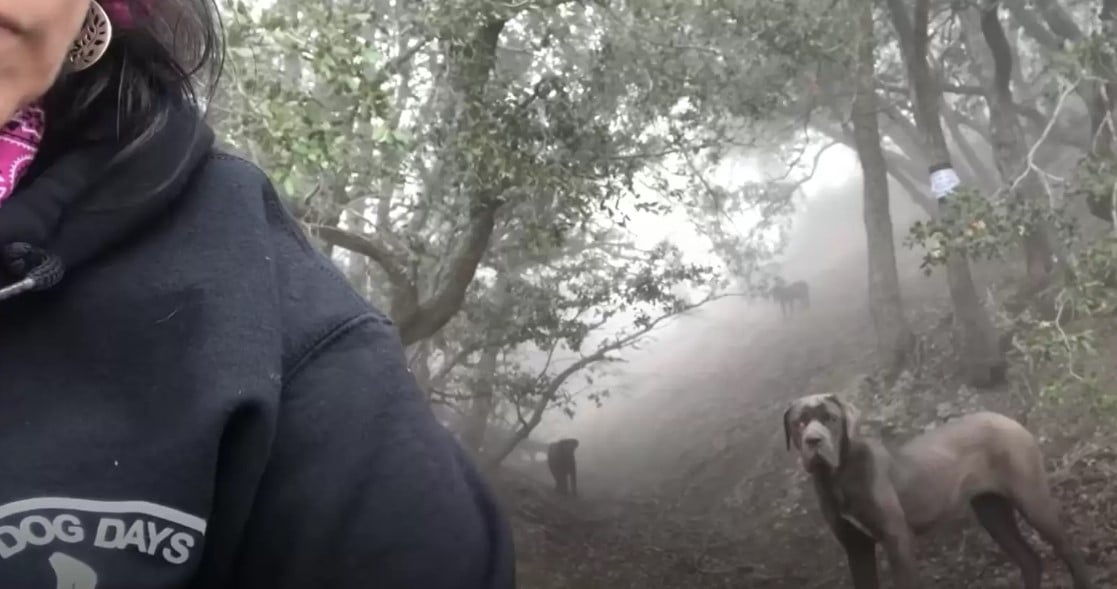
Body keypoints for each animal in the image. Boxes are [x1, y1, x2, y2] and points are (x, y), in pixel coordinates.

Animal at [786, 393, 1090, 589]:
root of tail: (1007, 419)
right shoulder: (856, 547)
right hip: (993, 512)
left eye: (831, 419)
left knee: (1070, 551)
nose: (814, 440)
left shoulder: (897, 540)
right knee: (1030, 561)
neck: (836, 477)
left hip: (1032, 501)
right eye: (799, 423)